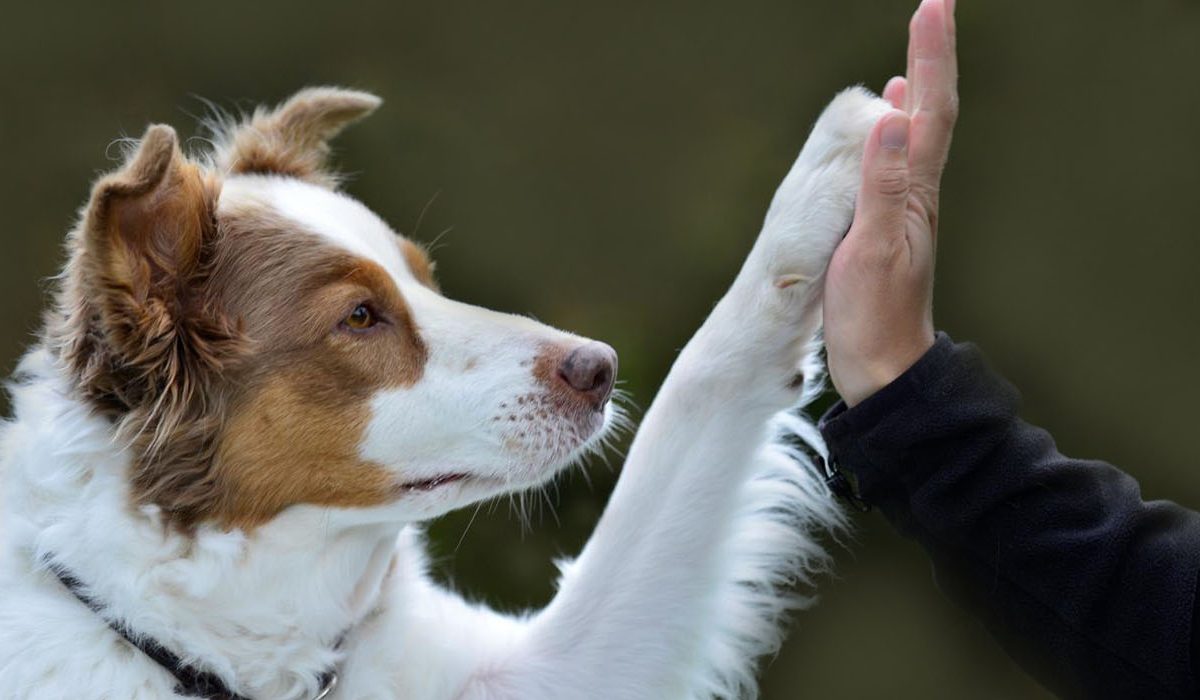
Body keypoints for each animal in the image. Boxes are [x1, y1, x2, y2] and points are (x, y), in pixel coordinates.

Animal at [0, 84, 883, 696]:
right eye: (360, 317)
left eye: (425, 278)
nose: (599, 368)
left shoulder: (540, 672)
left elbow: (698, 392)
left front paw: (829, 176)